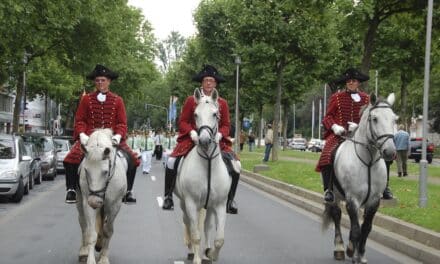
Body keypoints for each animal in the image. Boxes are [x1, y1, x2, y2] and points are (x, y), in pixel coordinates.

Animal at [75, 128, 126, 264]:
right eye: (86, 171)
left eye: (105, 172)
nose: (94, 201)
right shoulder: (87, 203)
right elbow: (91, 233)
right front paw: (90, 259)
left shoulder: (115, 205)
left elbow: (108, 231)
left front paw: (103, 258)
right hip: (80, 200)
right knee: (83, 223)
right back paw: (84, 251)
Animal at [174, 88, 232, 264]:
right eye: (195, 114)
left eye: (215, 114)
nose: (204, 140)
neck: (207, 163)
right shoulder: (191, 203)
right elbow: (195, 235)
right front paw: (197, 258)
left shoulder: (219, 204)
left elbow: (219, 238)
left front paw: (212, 254)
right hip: (184, 203)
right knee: (187, 223)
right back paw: (191, 251)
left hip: (209, 206)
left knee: (206, 225)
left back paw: (206, 253)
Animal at [322, 93, 398, 264]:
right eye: (375, 118)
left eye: (394, 119)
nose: (390, 152)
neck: (368, 162)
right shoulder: (352, 198)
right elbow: (356, 229)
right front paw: (354, 254)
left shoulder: (374, 201)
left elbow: (366, 228)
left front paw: (360, 254)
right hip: (335, 195)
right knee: (337, 215)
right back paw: (340, 248)